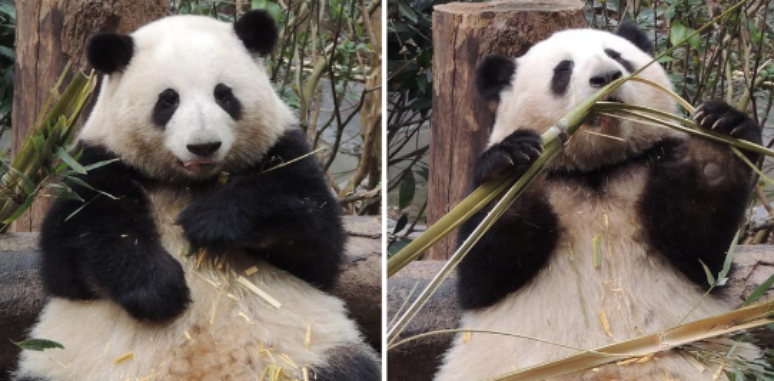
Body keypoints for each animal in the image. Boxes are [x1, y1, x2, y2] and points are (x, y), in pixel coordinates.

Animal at [12, 9, 382, 380]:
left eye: (224, 94)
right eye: (168, 99)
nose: (204, 146)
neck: (188, 182)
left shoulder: (283, 151)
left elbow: (316, 236)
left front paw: (209, 222)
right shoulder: (97, 164)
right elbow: (79, 244)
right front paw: (158, 289)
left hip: (307, 352)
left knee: (350, 366)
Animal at [436, 21, 764, 380]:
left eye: (617, 55)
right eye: (563, 70)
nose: (607, 76)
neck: (597, 173)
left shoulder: (647, 171)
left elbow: (702, 245)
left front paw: (718, 144)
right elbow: (486, 270)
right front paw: (509, 165)